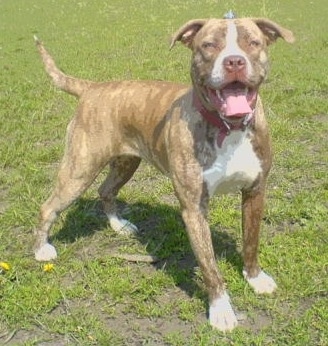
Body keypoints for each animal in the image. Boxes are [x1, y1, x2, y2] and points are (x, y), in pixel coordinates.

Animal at [34, 16, 294, 332]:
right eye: (209, 45)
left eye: (253, 42)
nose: (234, 61)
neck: (227, 127)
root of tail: (92, 88)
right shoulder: (194, 209)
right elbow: (209, 266)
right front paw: (221, 309)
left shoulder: (255, 191)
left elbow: (251, 241)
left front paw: (255, 278)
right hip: (80, 168)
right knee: (49, 206)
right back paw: (41, 249)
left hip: (126, 162)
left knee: (106, 190)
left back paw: (118, 225)